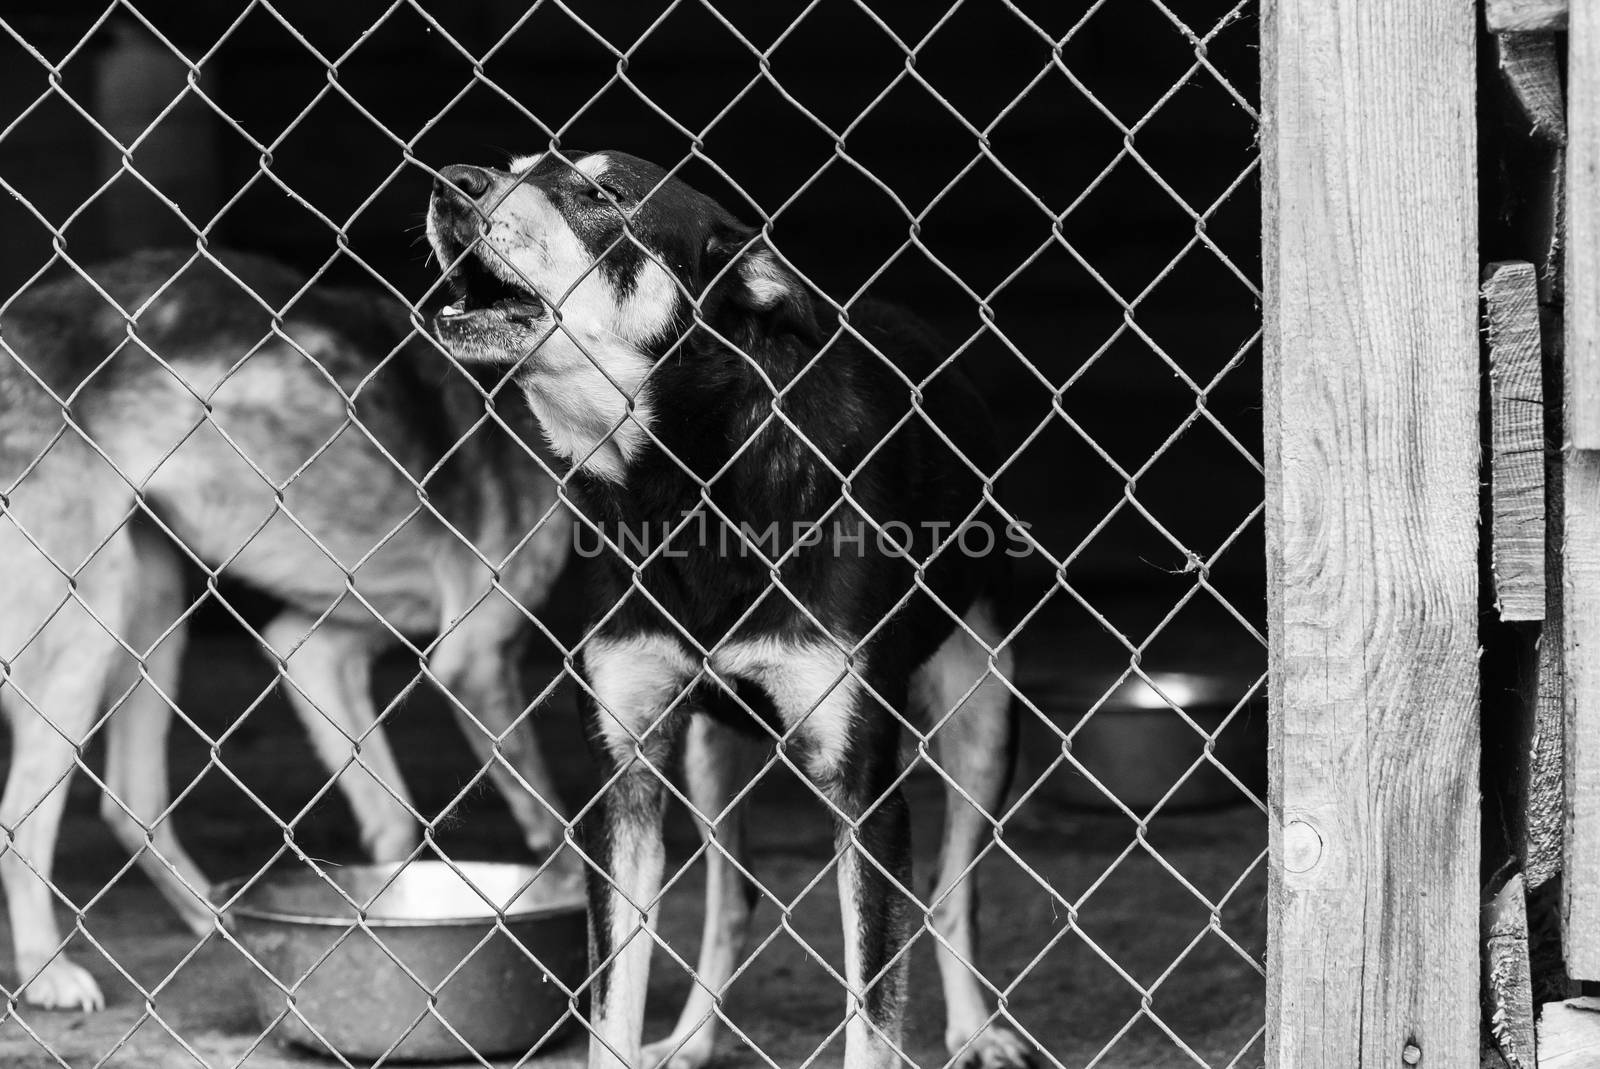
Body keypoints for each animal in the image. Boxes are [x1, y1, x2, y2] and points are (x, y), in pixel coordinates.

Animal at [425, 150, 1030, 1069]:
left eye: (604, 195)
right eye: (513, 164)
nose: (450, 179)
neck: (685, 490)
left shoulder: (866, 792)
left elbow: (874, 1011)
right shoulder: (624, 781)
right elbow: (613, 1001)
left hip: (984, 711)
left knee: (953, 888)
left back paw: (977, 1030)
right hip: (711, 756)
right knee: (732, 896)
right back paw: (692, 1037)